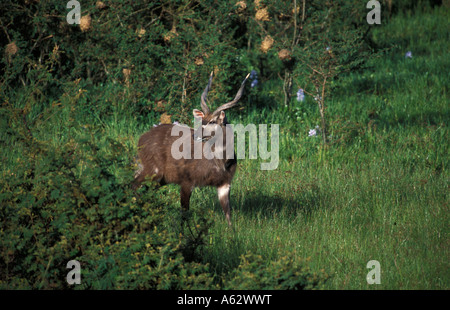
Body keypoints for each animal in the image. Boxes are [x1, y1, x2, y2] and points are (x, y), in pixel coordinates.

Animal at [133, 73, 250, 228]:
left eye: (213, 121)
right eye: (202, 120)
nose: (196, 135)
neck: (221, 162)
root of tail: (141, 139)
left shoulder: (224, 184)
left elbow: (228, 215)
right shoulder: (187, 181)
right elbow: (184, 212)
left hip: (159, 179)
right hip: (152, 171)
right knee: (133, 185)